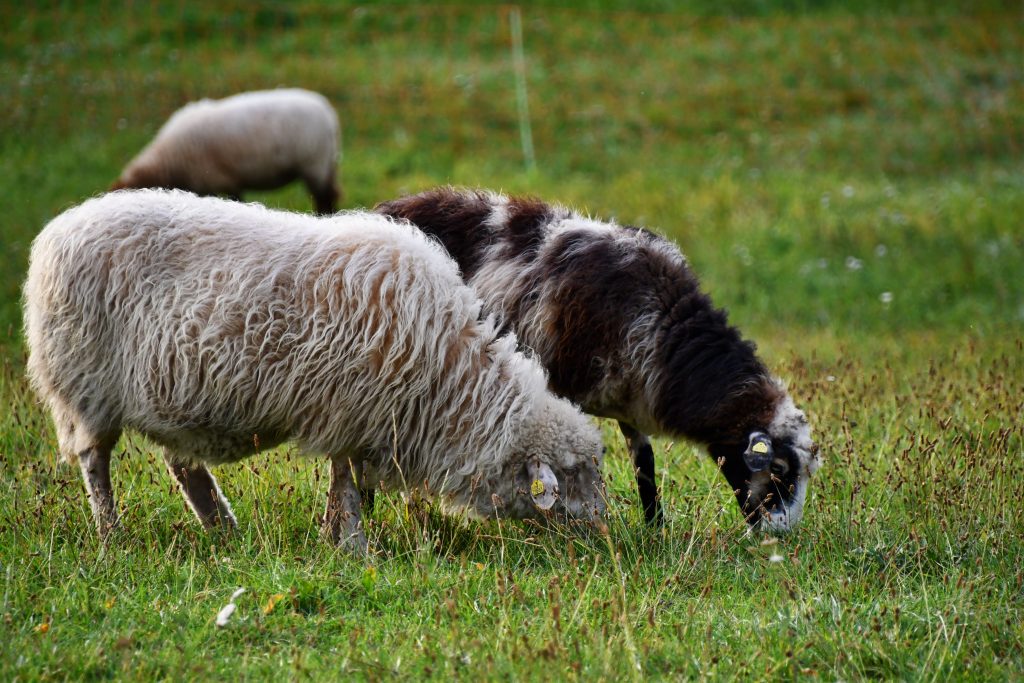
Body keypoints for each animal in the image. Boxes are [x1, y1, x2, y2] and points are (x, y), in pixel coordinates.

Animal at [24, 189, 606, 552]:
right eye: (575, 474)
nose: (606, 534)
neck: (451, 376)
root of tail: (57, 229)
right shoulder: (348, 412)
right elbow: (346, 485)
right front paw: (353, 546)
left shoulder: (358, 418)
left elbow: (343, 482)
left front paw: (335, 538)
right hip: (84, 386)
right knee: (94, 463)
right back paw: (111, 534)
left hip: (166, 396)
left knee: (183, 465)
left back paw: (223, 528)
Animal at [111, 89, 342, 214]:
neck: (169, 160)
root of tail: (328, 112)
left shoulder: (218, 180)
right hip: (326, 163)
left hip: (314, 164)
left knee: (325, 197)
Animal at [378, 188, 823, 532]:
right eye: (778, 469)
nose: (781, 533)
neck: (666, 332)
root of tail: (388, 206)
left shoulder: (632, 397)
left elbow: (644, 465)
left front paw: (655, 527)